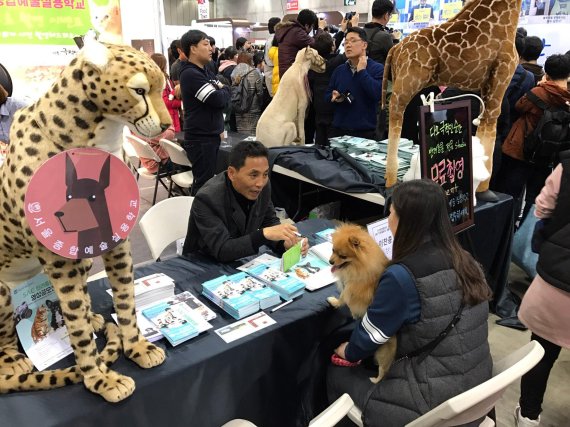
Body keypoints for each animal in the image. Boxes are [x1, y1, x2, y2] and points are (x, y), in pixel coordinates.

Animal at [326, 224, 398, 384]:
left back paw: (375, 380)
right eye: (333, 250)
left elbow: (344, 298)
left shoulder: (351, 288)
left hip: (382, 352)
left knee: (383, 370)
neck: (357, 267)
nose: (330, 262)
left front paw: (338, 304)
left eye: (343, 256)